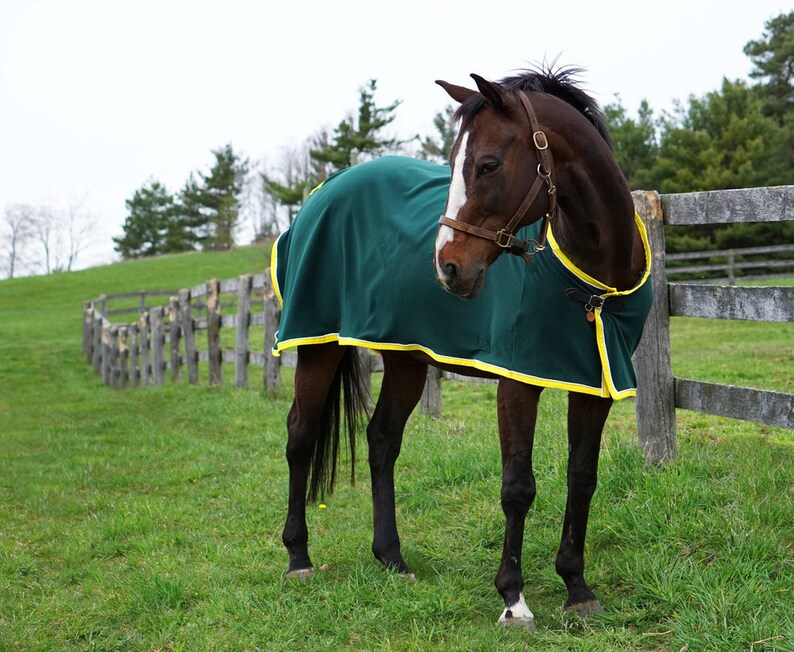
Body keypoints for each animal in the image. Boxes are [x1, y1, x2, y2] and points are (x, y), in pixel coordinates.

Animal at [274, 67, 652, 630]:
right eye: (455, 164)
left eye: (487, 164)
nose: (448, 268)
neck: (593, 278)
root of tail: (321, 192)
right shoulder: (518, 382)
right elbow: (518, 486)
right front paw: (514, 599)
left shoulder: (592, 384)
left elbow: (582, 478)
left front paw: (577, 588)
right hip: (317, 347)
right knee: (300, 435)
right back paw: (299, 558)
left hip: (406, 358)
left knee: (382, 440)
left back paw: (392, 558)